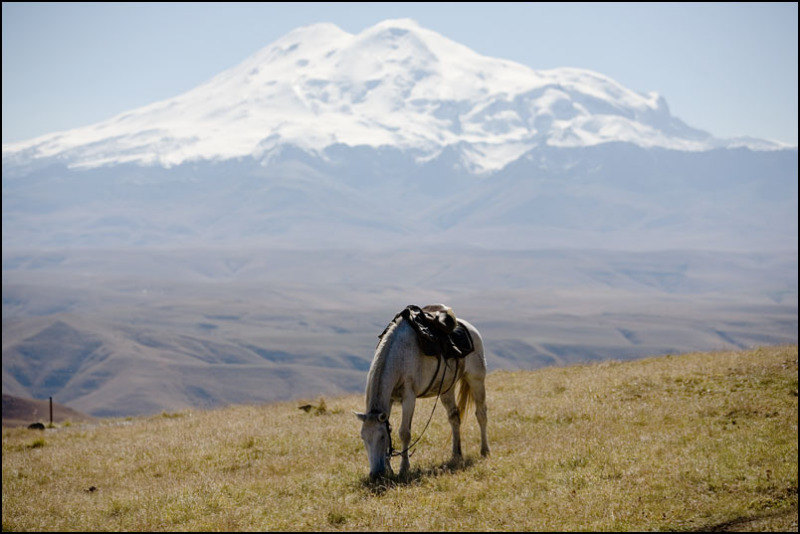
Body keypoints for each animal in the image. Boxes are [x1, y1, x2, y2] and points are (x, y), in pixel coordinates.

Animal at [354, 308, 488, 480]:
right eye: (363, 437)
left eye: (382, 437)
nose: (375, 474)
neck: (400, 355)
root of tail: (471, 329)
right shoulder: (389, 399)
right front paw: (390, 469)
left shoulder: (409, 397)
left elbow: (404, 432)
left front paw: (404, 468)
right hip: (447, 389)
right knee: (454, 418)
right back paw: (456, 455)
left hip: (476, 380)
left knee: (481, 413)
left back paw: (485, 451)